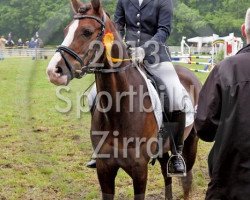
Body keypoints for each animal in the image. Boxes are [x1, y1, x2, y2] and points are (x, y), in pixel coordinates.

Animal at [47, 0, 202, 199]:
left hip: (191, 143)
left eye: (87, 31)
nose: (53, 71)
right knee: (166, 175)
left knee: (186, 180)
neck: (119, 110)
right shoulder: (104, 169)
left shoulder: (139, 169)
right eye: (66, 30)